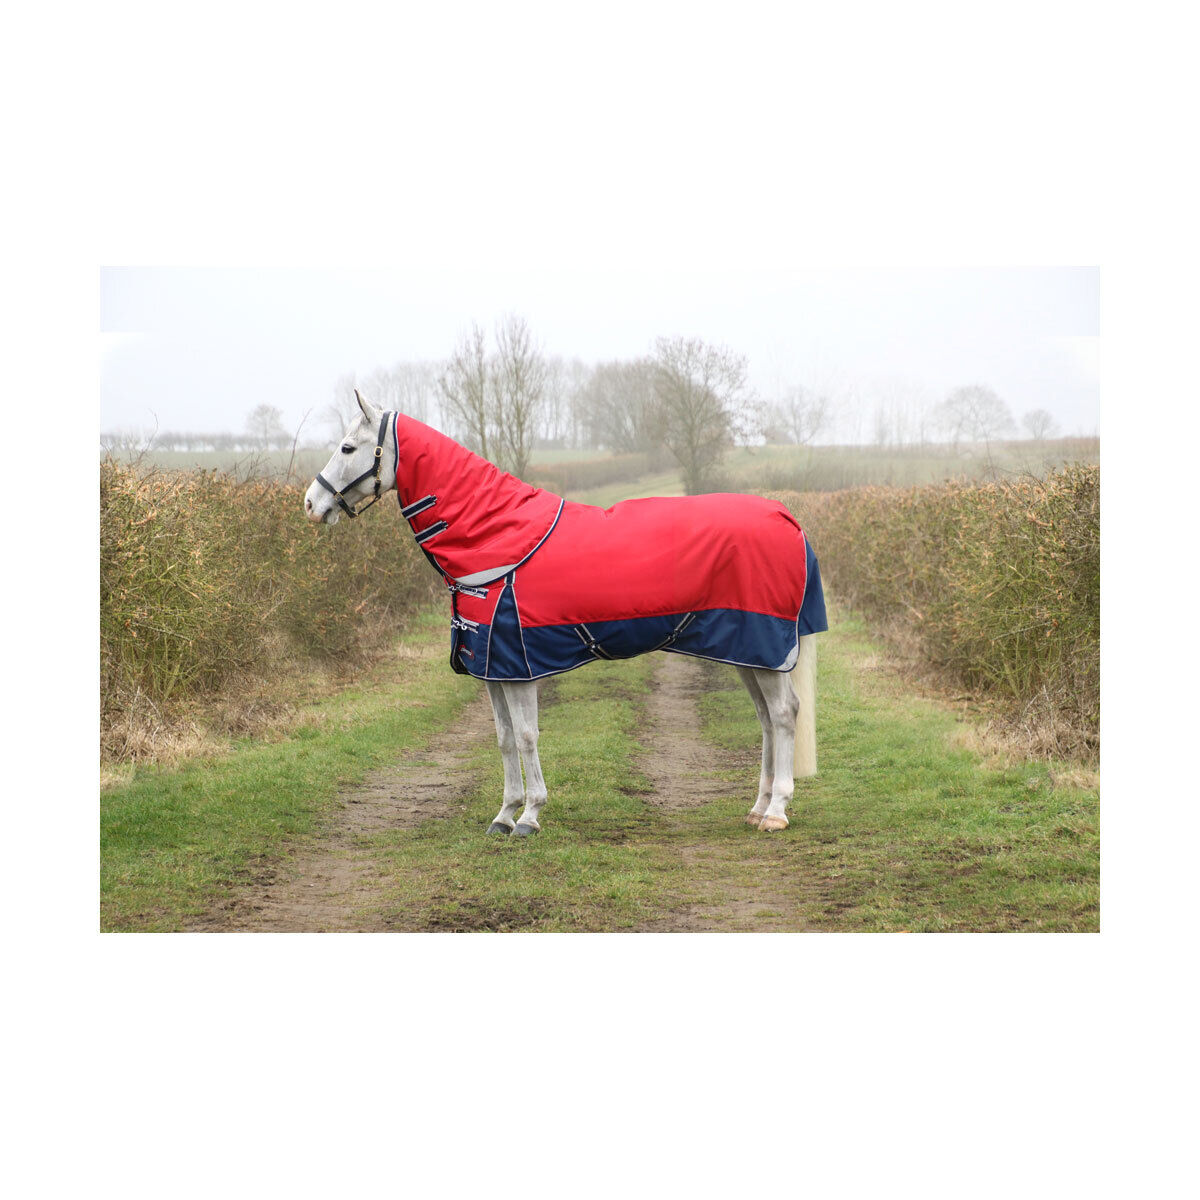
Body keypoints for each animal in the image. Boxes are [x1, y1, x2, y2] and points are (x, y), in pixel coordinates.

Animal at [304, 391, 827, 837]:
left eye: (348, 446)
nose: (311, 503)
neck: (497, 537)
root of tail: (786, 517)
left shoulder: (518, 666)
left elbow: (527, 736)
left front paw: (530, 817)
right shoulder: (491, 669)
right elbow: (504, 739)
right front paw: (504, 814)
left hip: (766, 649)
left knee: (784, 714)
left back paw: (777, 811)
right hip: (748, 654)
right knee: (765, 718)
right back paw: (757, 808)